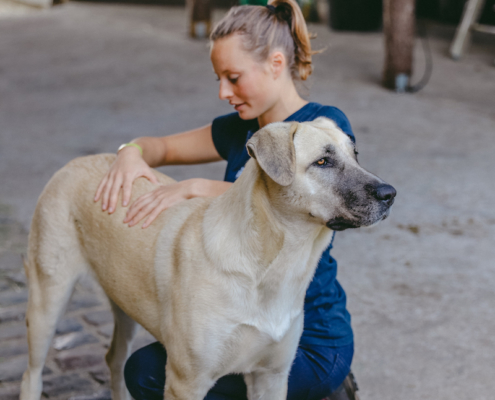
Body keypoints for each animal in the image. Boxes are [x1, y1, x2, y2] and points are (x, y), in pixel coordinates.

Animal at [19, 118, 398, 400]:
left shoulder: (272, 376)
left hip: (122, 300)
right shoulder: (186, 381)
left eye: (356, 155)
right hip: (47, 301)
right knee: (31, 374)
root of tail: (74, 163)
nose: (390, 194)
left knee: (114, 359)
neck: (272, 265)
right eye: (322, 161)